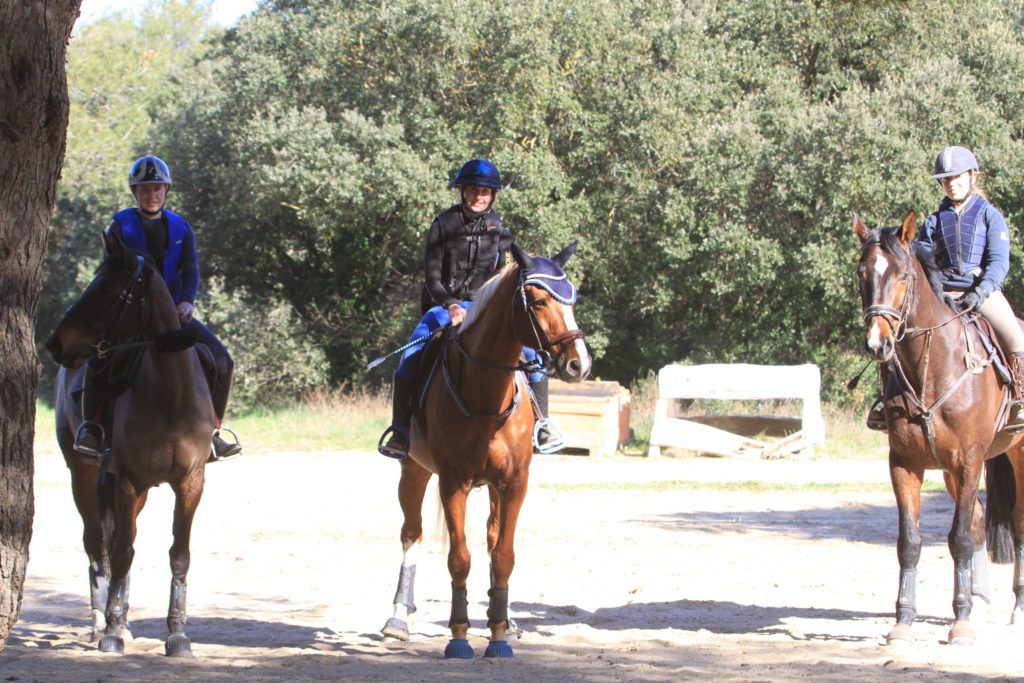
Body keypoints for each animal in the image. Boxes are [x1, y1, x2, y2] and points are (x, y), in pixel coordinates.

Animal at [44, 229, 216, 655]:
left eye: (108, 289)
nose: (54, 343)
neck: (170, 393)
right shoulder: (126, 480)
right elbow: (121, 550)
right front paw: (111, 631)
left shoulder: (190, 482)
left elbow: (178, 555)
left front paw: (177, 633)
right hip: (84, 475)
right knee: (98, 545)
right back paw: (99, 621)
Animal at [380, 241, 593, 655]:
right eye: (537, 300)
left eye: (573, 297)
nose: (579, 364)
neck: (487, 396)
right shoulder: (452, 483)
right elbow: (459, 559)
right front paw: (459, 637)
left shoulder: (514, 482)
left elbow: (504, 554)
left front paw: (498, 634)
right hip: (414, 471)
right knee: (411, 534)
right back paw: (398, 617)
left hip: (493, 486)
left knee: (493, 539)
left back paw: (506, 621)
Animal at [851, 214, 1024, 647]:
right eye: (862, 273)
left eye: (902, 275)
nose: (877, 344)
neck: (930, 367)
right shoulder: (905, 464)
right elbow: (910, 543)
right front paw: (904, 621)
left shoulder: (969, 461)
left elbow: (958, 537)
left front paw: (960, 625)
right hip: (949, 471)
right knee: (979, 523)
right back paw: (978, 600)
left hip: (1015, 455)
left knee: (1016, 523)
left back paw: (1017, 607)